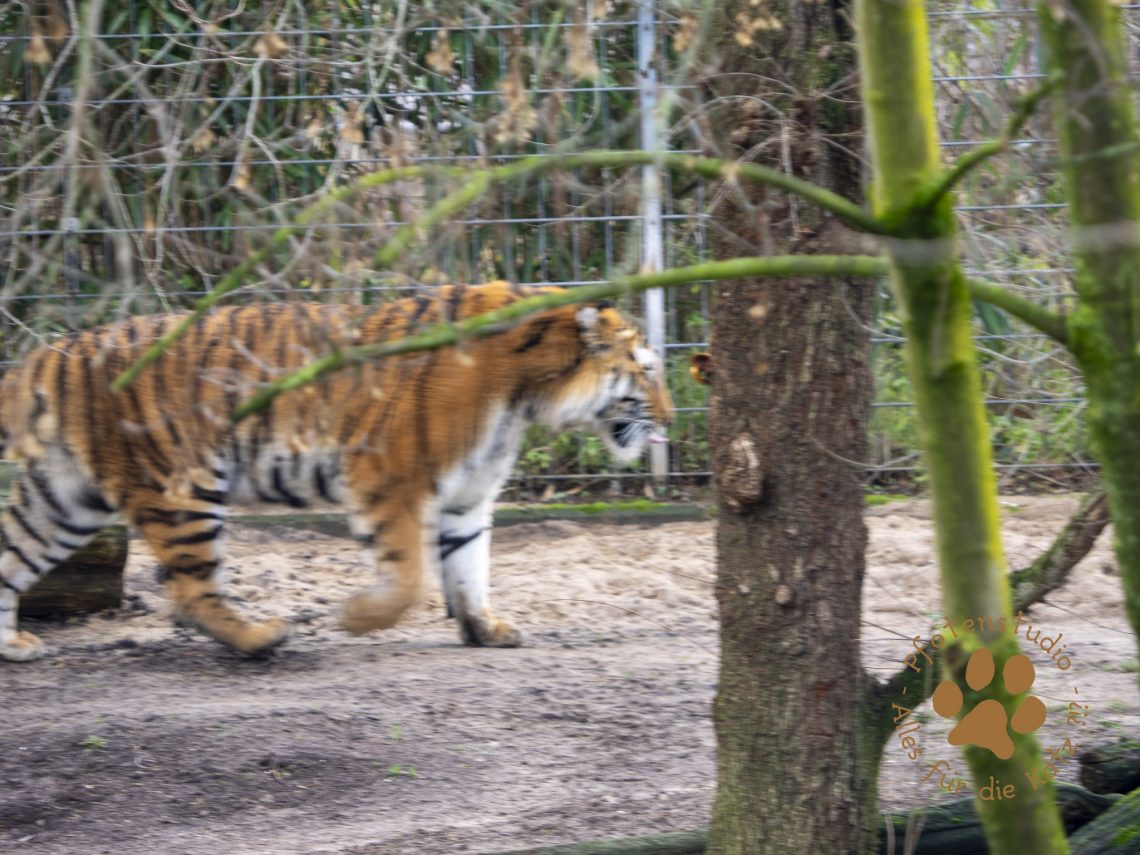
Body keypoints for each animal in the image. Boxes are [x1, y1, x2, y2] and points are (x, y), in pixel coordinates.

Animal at [0, 282, 673, 662]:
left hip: (65, 499)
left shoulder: (466, 496)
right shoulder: (390, 477)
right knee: (190, 592)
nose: (670, 418)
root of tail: (58, 352)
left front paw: (486, 631)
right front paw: (356, 620)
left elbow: (469, 569)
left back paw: (13, 648)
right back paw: (261, 640)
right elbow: (411, 581)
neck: (528, 392)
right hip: (181, 487)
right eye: (646, 371)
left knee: (11, 559)